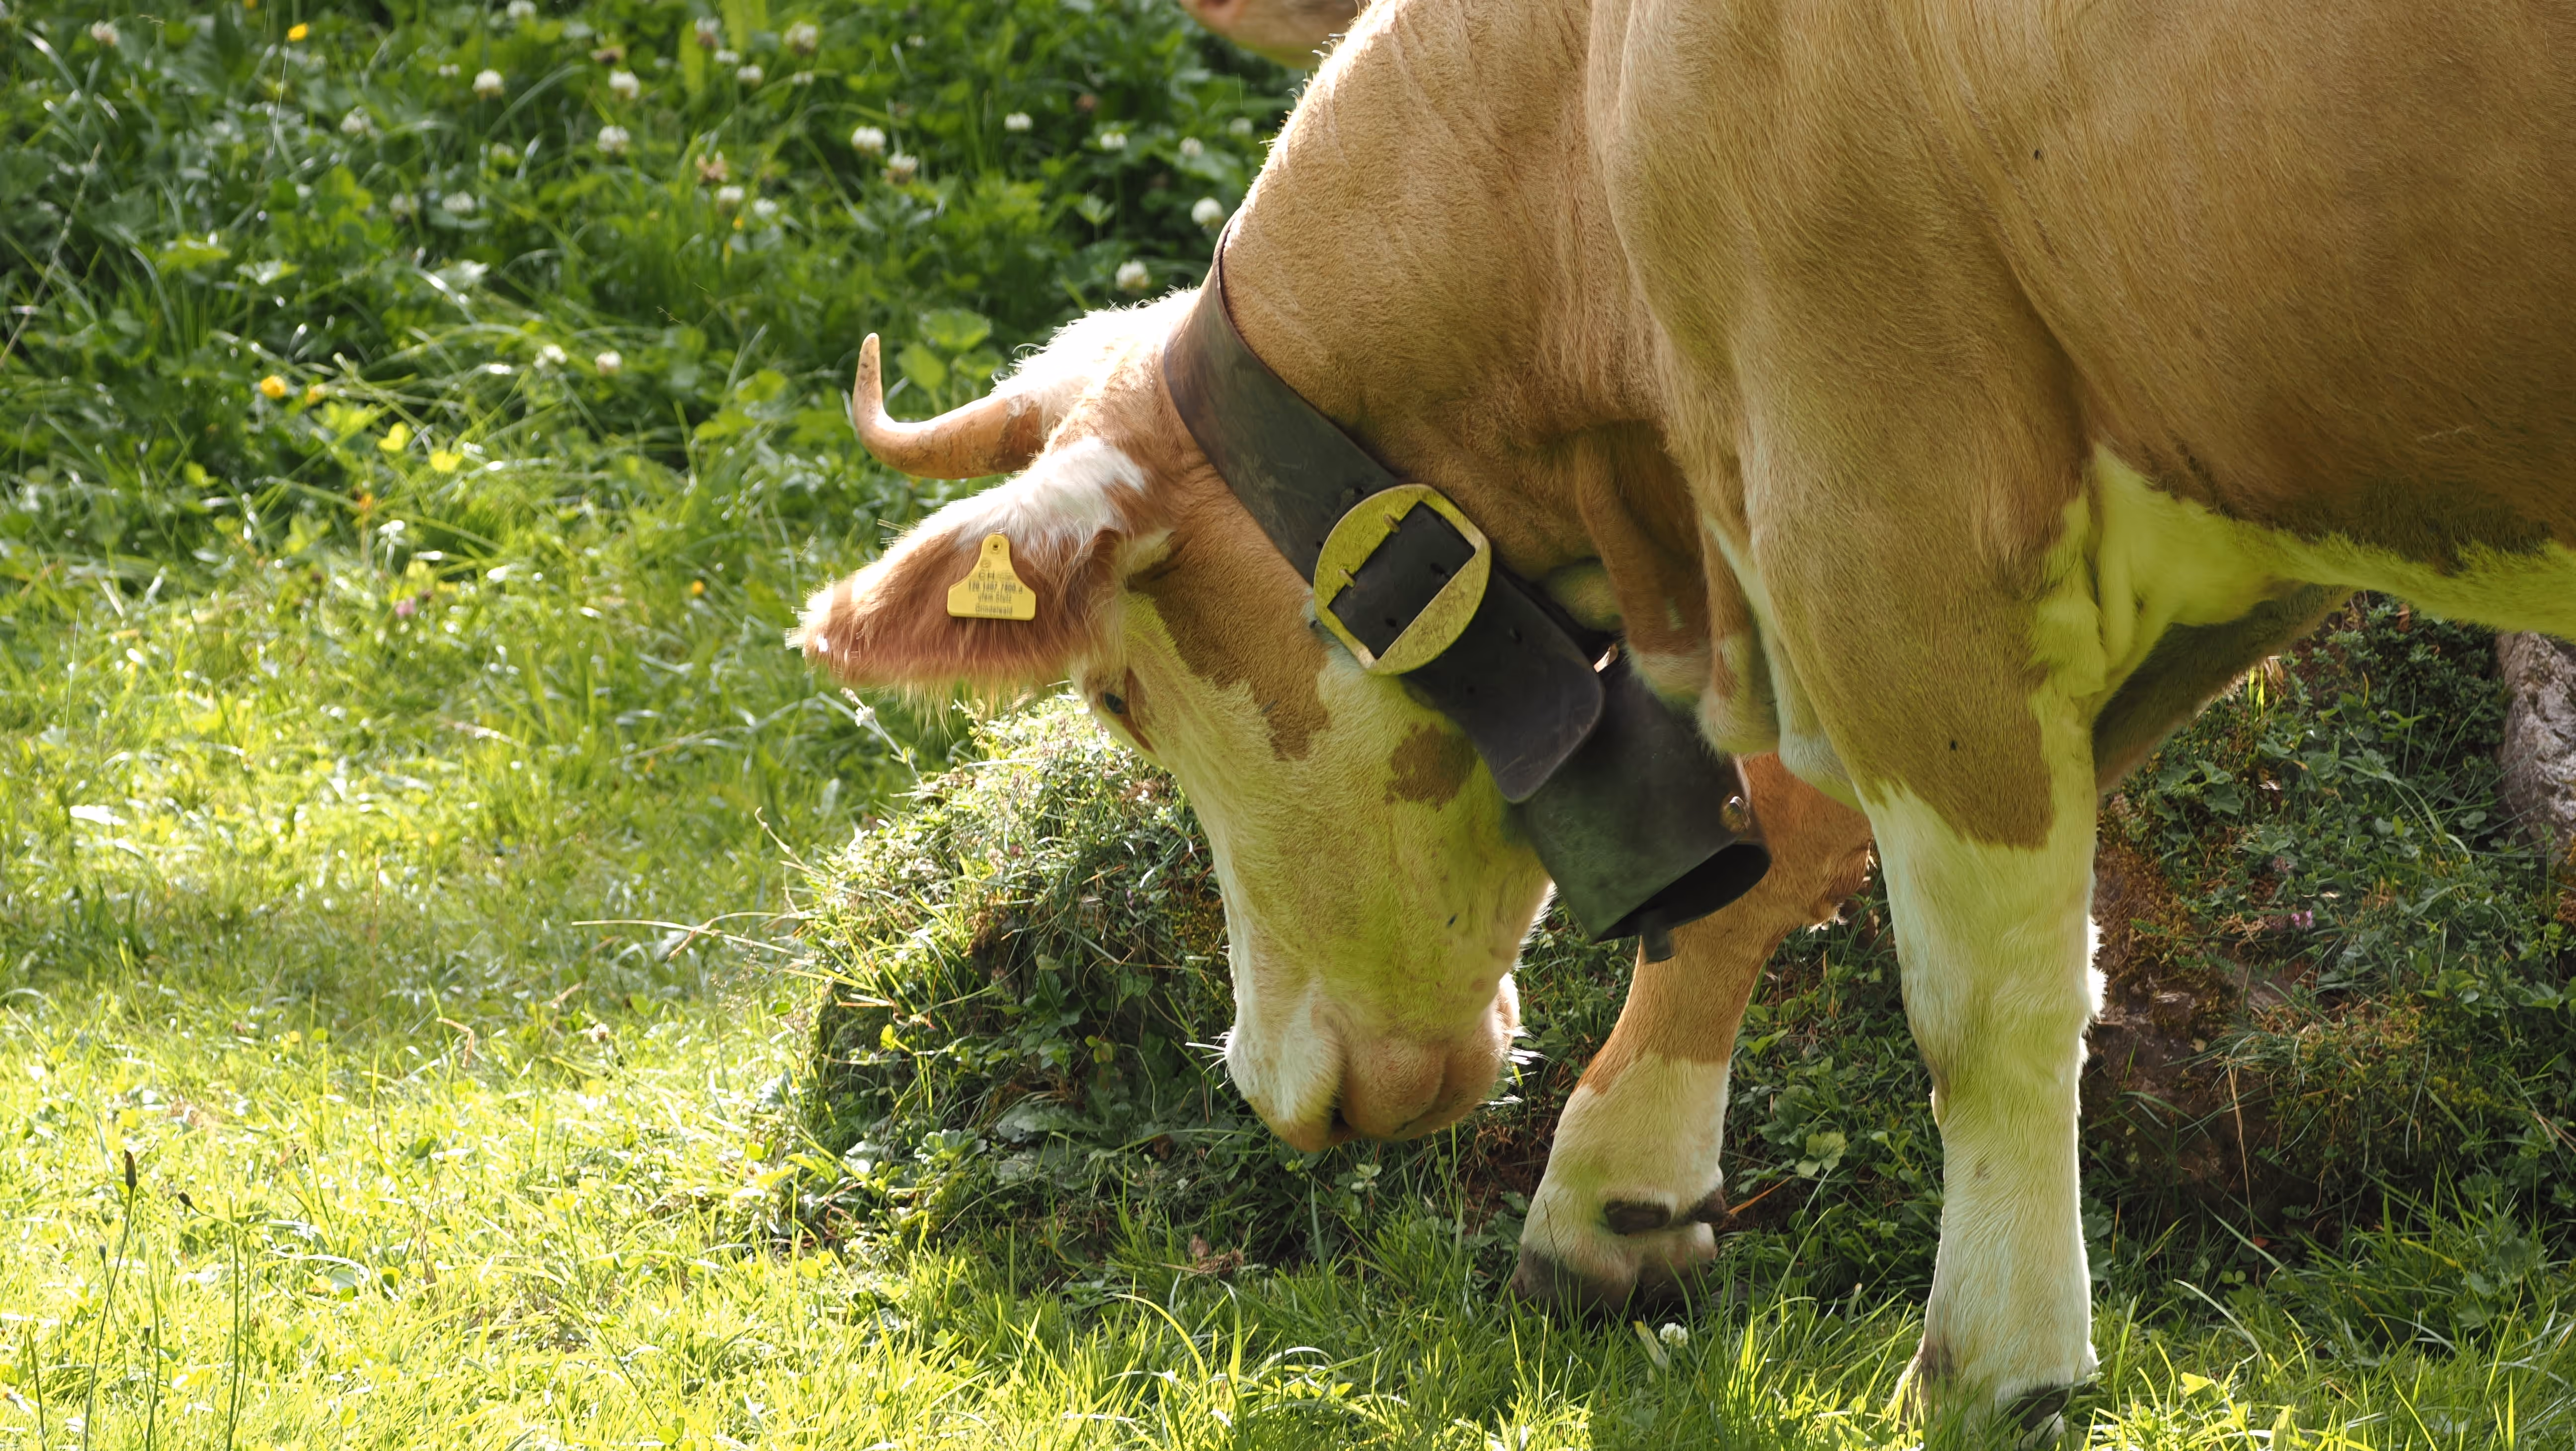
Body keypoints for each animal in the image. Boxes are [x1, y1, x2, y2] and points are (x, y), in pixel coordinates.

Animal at [796, 0, 2576, 1429]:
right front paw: (1613, 1194)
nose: (1265, 1080)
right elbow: (1782, 850)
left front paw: (1998, 1363)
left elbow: (1988, 1008)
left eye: (1118, 695)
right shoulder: (2166, 543)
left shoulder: (1886, 518)